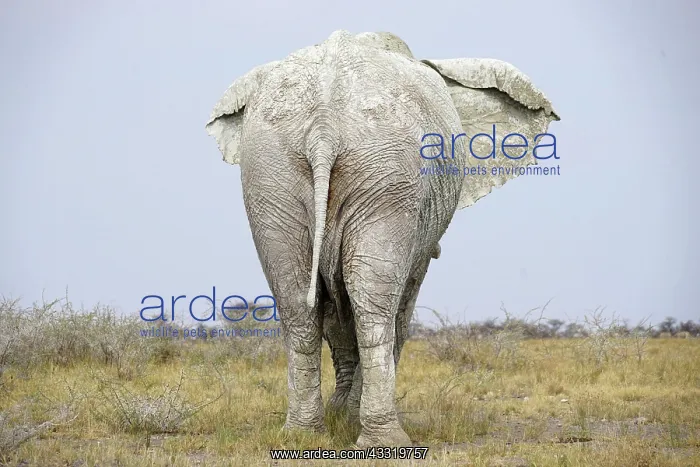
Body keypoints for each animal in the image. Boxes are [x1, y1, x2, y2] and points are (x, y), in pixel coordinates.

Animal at [205, 30, 559, 447]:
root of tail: (323, 124)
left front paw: (341, 414)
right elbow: (402, 298)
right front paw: (346, 414)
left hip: (270, 170)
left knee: (297, 303)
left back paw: (302, 436)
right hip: (386, 172)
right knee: (375, 305)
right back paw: (387, 442)